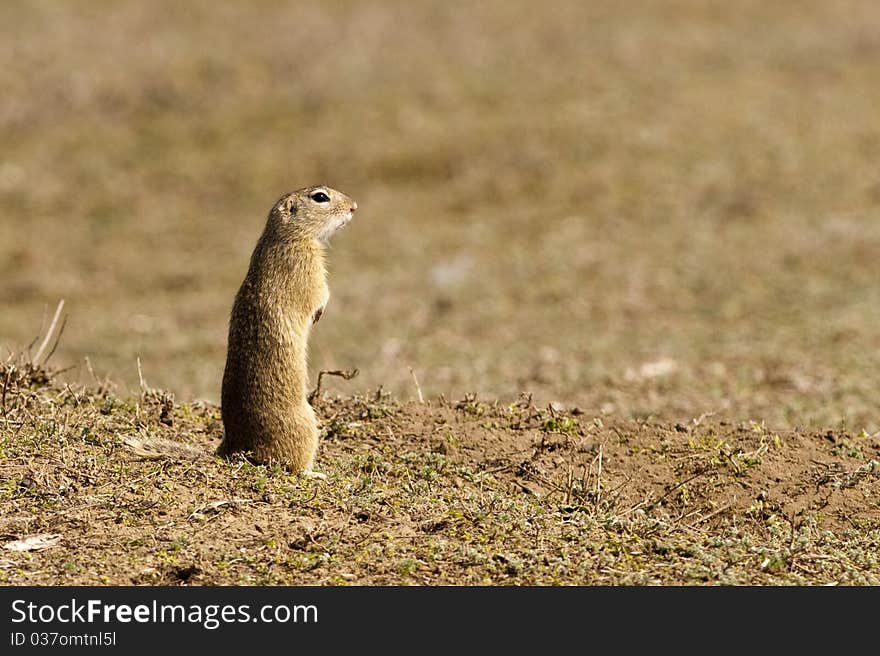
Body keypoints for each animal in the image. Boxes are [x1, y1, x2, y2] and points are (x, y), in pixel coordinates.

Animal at [217, 184, 358, 476]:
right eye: (320, 197)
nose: (354, 206)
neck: (288, 235)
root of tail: (235, 446)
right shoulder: (308, 266)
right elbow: (319, 293)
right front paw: (320, 311)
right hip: (307, 425)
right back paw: (316, 473)